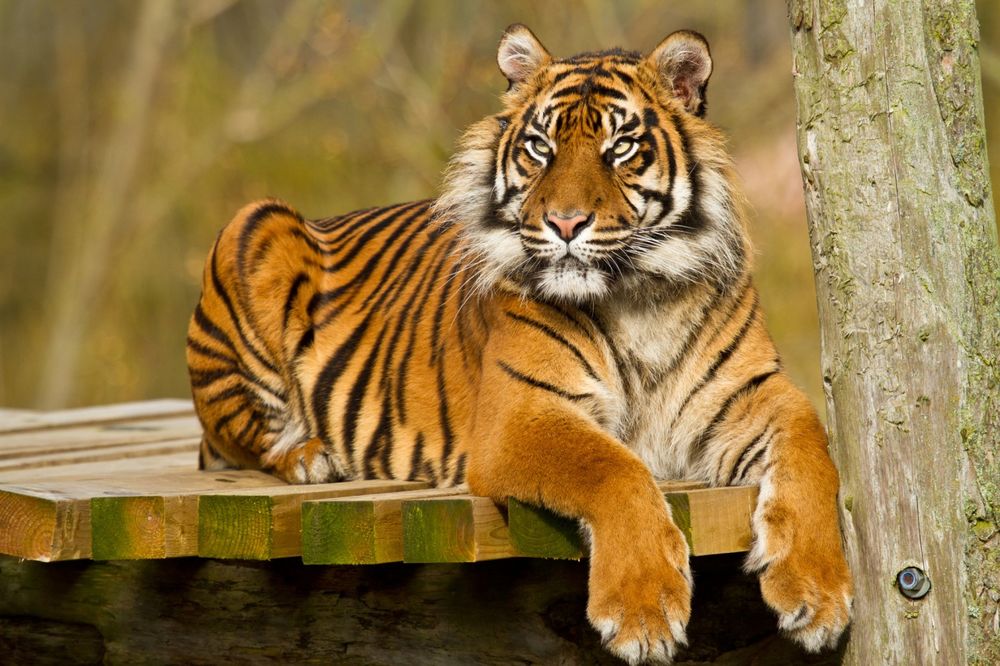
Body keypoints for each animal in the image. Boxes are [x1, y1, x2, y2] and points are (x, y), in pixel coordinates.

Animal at [187, 24, 852, 664]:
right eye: (540, 148)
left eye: (620, 147)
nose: (564, 223)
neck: (638, 297)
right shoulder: (521, 414)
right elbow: (614, 467)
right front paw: (643, 612)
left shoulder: (749, 392)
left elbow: (811, 447)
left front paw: (817, 593)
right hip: (255, 223)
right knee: (241, 436)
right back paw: (310, 457)